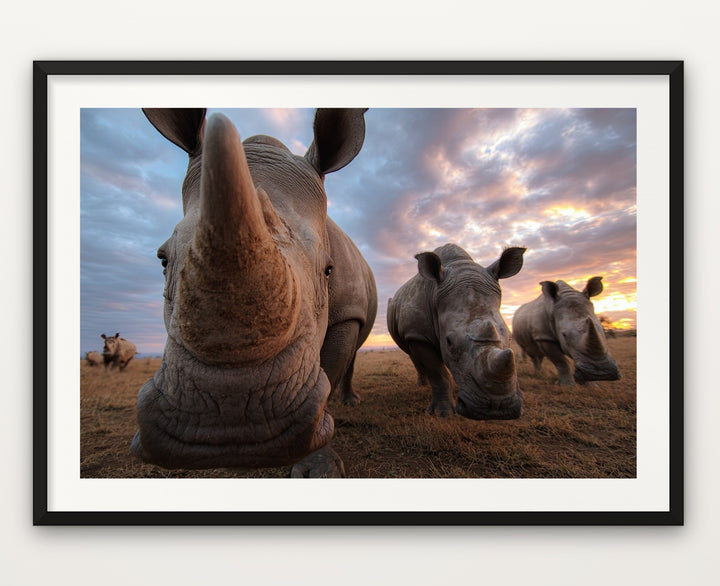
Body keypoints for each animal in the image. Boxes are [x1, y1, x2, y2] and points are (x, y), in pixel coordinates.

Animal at [131, 108, 377, 477]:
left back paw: (351, 402)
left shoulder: (346, 313)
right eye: (162, 259)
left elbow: (331, 374)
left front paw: (319, 469)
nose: (232, 414)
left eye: (329, 270)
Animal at [387, 243, 526, 420]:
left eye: (510, 337)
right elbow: (437, 373)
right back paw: (422, 385)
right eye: (449, 342)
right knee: (412, 355)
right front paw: (443, 414)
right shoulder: (417, 334)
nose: (497, 408)